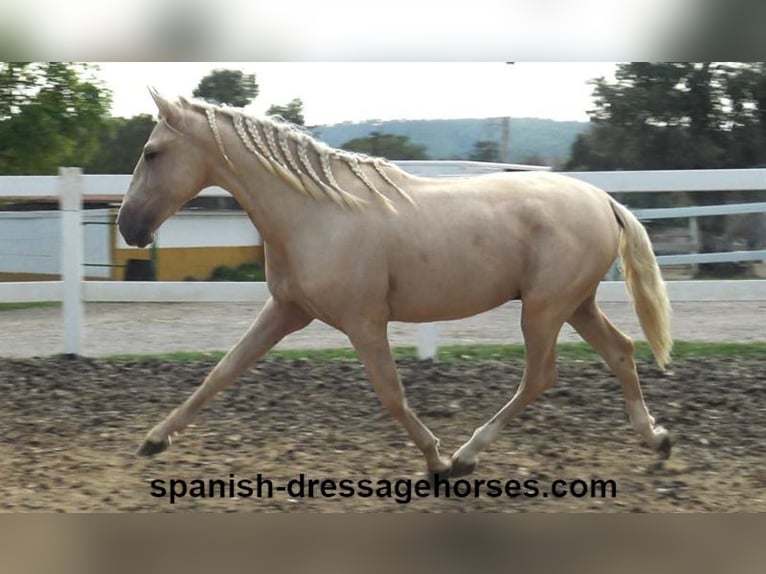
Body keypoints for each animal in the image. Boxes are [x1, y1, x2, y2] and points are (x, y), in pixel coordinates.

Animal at [117, 89, 676, 476]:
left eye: (151, 152)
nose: (128, 227)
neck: (315, 214)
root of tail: (603, 199)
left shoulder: (364, 322)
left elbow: (390, 393)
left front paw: (436, 461)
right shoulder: (287, 311)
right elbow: (222, 372)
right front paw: (154, 440)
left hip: (543, 309)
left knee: (540, 376)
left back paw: (467, 456)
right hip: (575, 304)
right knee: (620, 350)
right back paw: (657, 439)